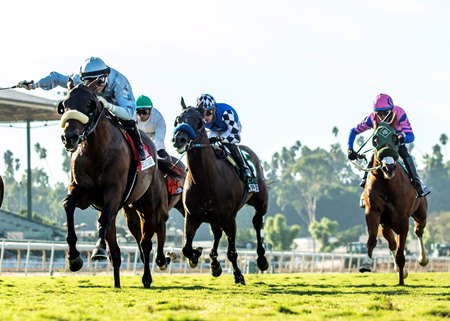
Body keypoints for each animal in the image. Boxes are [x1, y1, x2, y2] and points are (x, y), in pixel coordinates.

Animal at [172, 99, 268, 284]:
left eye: (199, 122)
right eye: (178, 119)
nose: (179, 139)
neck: (205, 181)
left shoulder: (230, 219)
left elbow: (231, 252)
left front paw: (238, 275)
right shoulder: (192, 216)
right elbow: (186, 248)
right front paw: (196, 255)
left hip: (261, 202)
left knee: (257, 221)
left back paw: (261, 259)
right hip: (213, 217)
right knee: (217, 233)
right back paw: (214, 263)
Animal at [356, 121, 428, 284]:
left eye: (395, 138)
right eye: (375, 140)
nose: (388, 167)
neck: (388, 184)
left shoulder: (403, 219)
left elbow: (401, 251)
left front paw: (401, 281)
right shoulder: (373, 212)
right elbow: (372, 239)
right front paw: (366, 264)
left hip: (421, 213)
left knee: (419, 231)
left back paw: (423, 259)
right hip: (386, 224)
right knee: (392, 243)